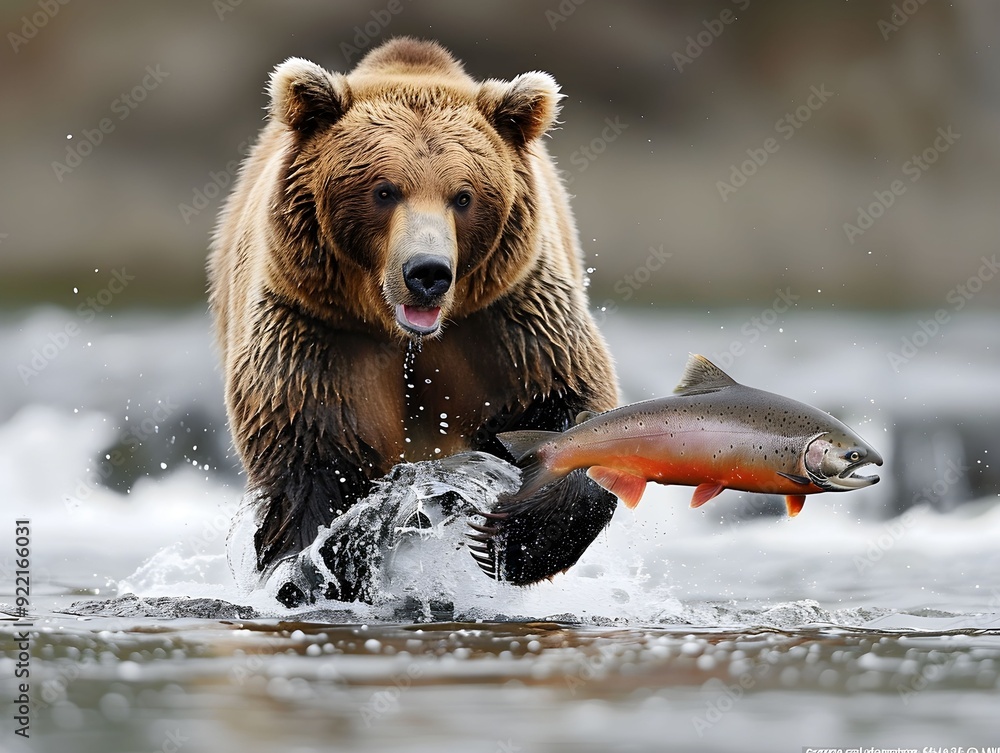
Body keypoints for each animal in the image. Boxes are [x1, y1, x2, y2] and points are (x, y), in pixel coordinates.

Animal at [209, 37, 619, 606]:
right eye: (384, 190)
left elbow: (566, 399)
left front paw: (512, 537)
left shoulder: (507, 321)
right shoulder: (318, 334)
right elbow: (311, 461)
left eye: (464, 196)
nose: (428, 272)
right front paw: (331, 560)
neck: (404, 334)